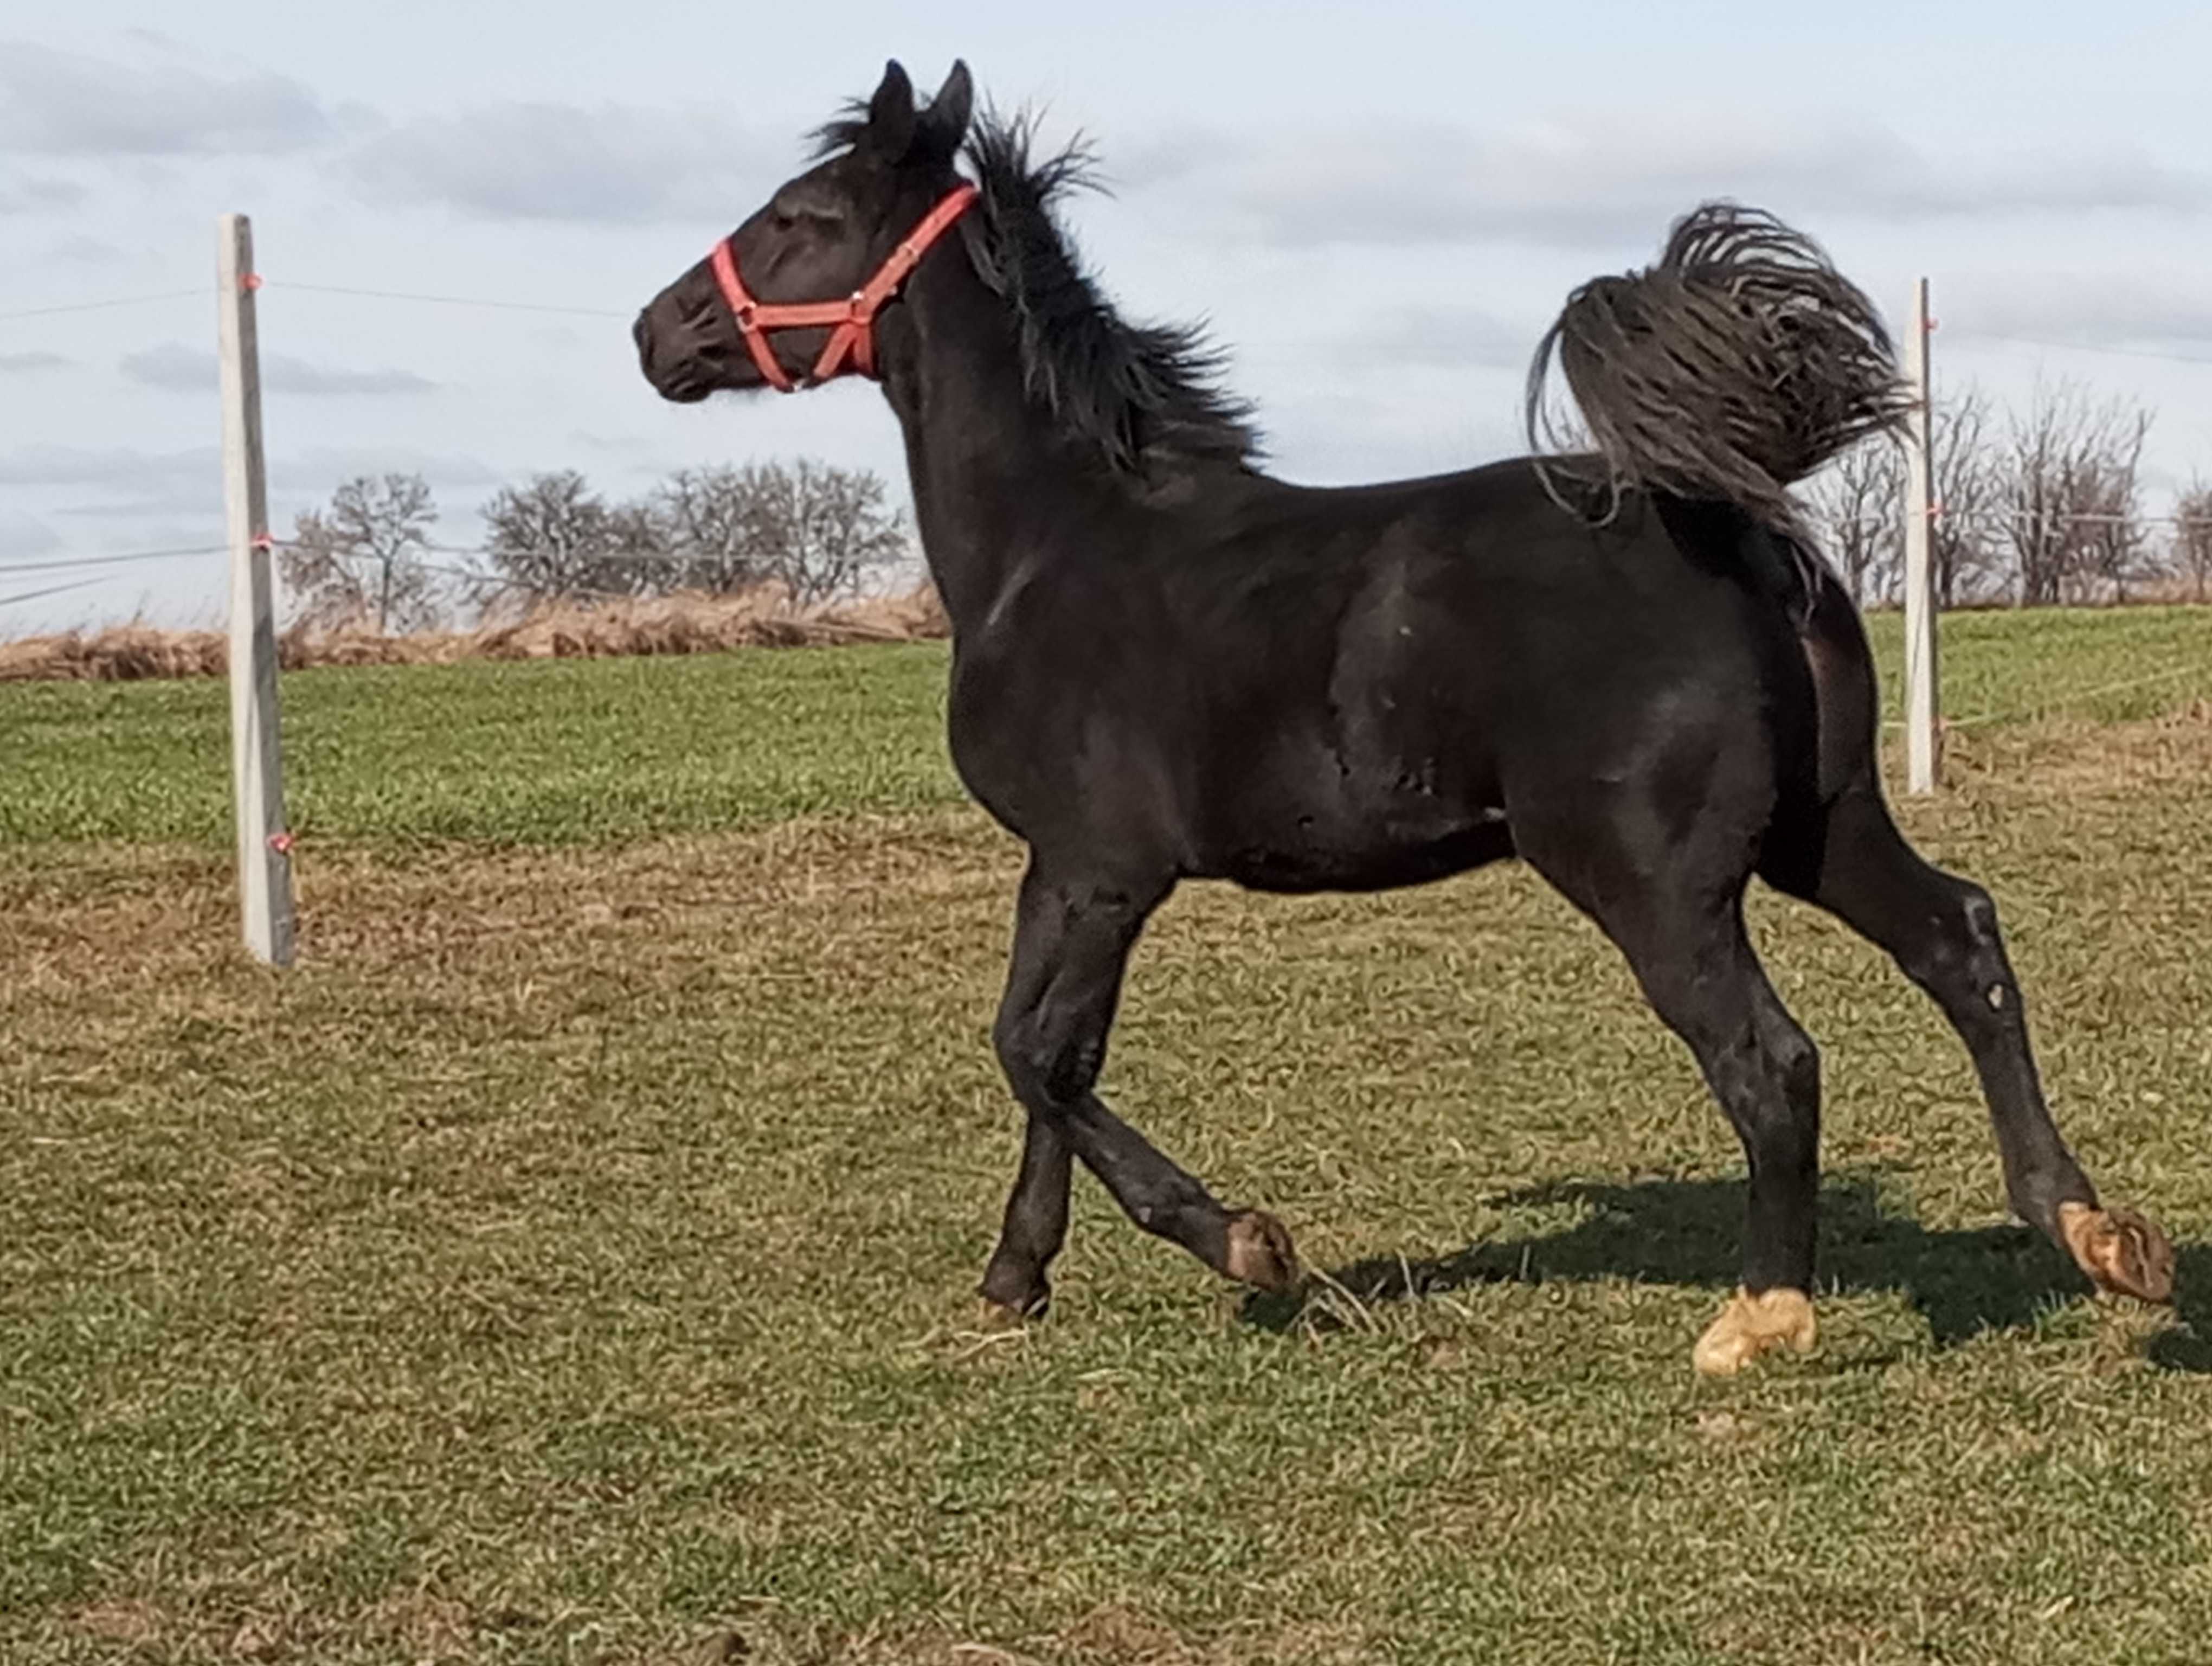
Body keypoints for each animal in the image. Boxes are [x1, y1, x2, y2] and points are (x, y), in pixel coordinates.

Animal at [637, 61, 2176, 1363]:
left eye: (801, 216)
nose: (659, 330)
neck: (1056, 544)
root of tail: (1726, 522)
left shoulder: (1093, 865)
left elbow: (1032, 1052)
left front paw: (1248, 1244)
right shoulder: (1068, 872)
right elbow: (1053, 1058)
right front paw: (1014, 1280)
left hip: (1654, 880)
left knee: (1771, 1057)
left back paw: (1760, 1315)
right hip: (1822, 822)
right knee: (1959, 941)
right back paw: (2093, 1230)